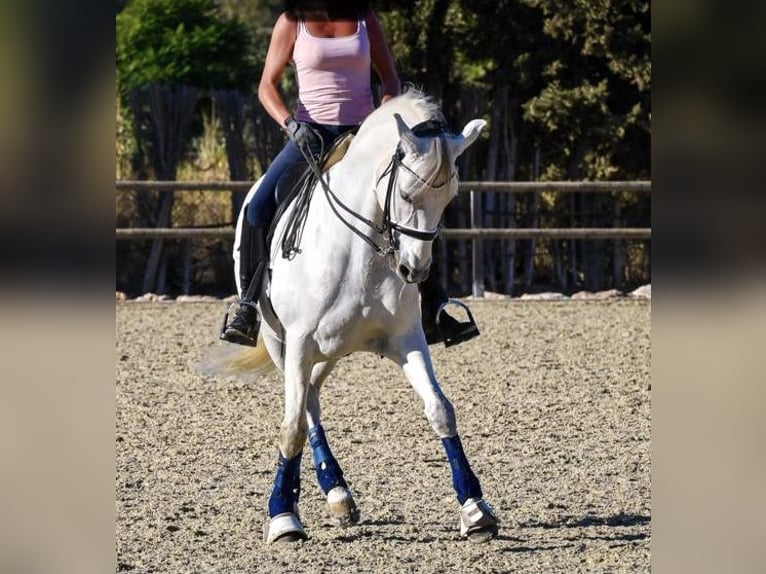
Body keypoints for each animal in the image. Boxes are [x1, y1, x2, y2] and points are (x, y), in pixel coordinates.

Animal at [222, 89, 498, 544]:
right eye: (406, 194)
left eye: (449, 200)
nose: (414, 271)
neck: (361, 251)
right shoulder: (299, 344)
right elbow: (292, 427)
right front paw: (283, 517)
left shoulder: (407, 339)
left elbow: (440, 409)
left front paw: (475, 508)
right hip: (282, 344)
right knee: (305, 407)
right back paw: (328, 493)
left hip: (332, 350)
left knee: (312, 396)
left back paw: (338, 493)